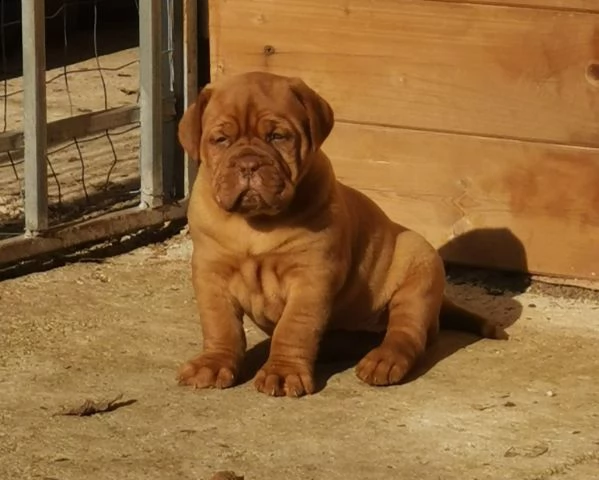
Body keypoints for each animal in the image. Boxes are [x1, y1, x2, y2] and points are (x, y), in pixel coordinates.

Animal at [177, 69, 506, 396]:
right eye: (221, 140)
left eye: (278, 137)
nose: (248, 164)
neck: (255, 223)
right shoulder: (211, 273)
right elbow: (221, 324)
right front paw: (213, 363)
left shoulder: (311, 276)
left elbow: (294, 327)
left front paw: (283, 372)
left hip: (419, 268)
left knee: (407, 333)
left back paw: (384, 361)